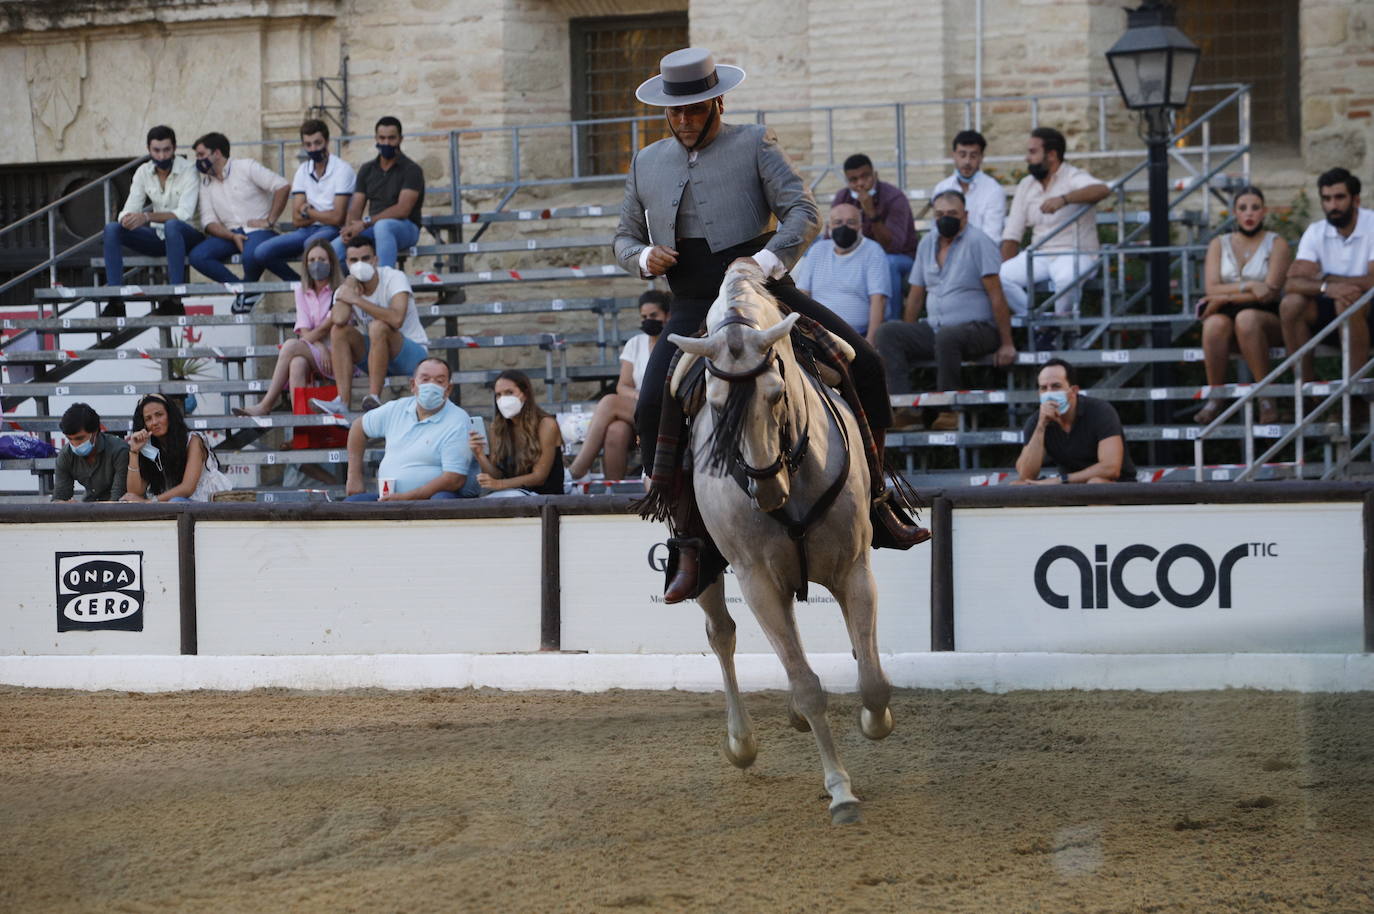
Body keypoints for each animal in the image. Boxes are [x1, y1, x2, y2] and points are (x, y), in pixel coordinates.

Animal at [667, 259, 901, 824]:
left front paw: (874, 722)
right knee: (722, 635)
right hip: (711, 566)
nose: (765, 486)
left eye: (775, 393)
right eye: (713, 403)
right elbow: (808, 685)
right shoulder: (757, 583)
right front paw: (840, 790)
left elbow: (871, 679)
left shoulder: (853, 569)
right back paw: (741, 743)